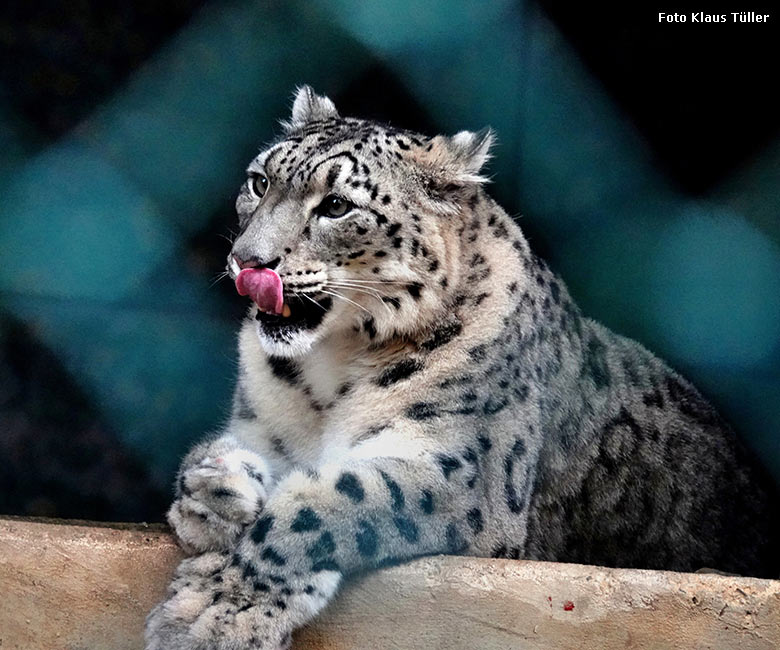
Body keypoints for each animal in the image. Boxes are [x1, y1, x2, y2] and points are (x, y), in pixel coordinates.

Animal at [143, 86, 776, 648]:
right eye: (260, 182)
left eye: (337, 206)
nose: (247, 261)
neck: (328, 370)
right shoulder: (262, 427)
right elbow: (216, 455)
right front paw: (212, 491)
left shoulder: (465, 472)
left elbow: (328, 505)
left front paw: (212, 614)